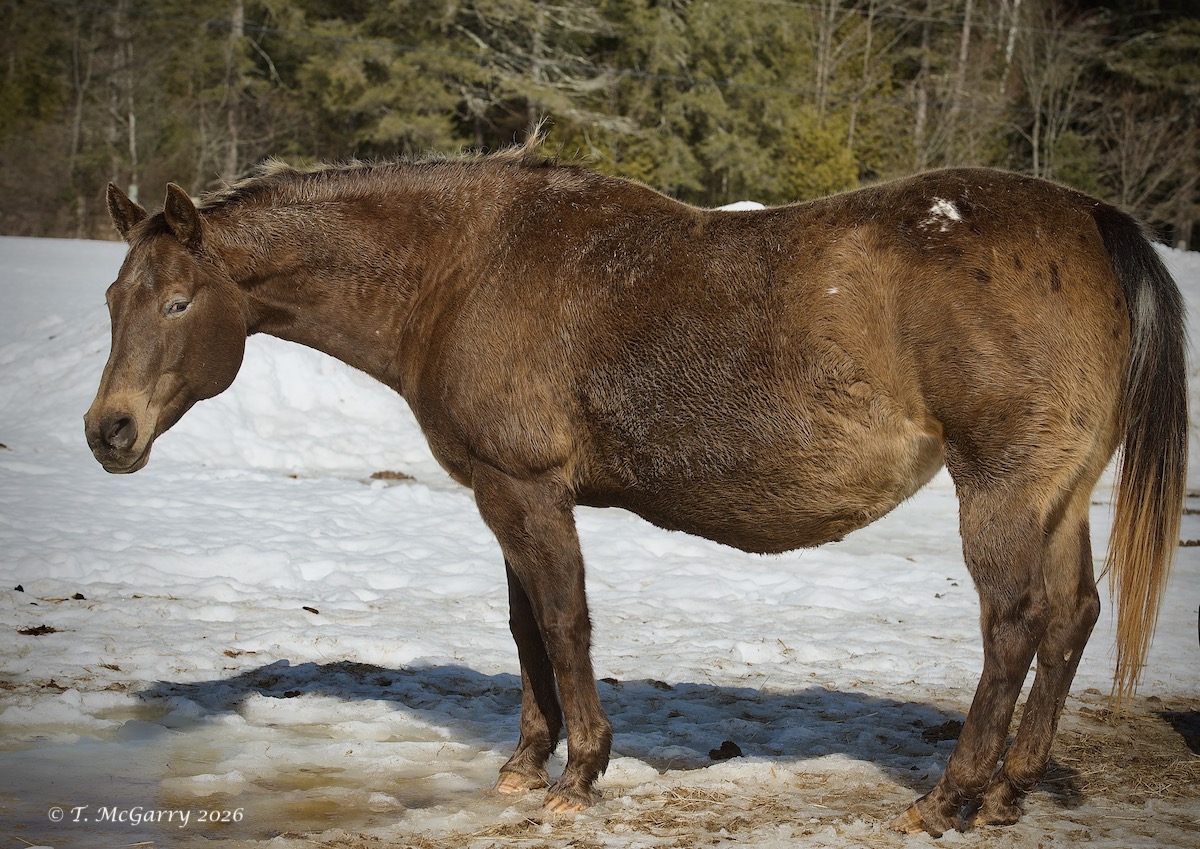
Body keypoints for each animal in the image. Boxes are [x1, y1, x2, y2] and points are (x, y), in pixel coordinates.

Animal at [85, 143, 1187, 836]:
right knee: (1070, 617)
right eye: (112, 297)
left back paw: (950, 798)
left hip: (999, 489)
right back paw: (1008, 792)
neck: (465, 269)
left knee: (1013, 624)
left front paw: (578, 776)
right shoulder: (503, 494)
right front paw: (523, 766)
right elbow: (526, 629)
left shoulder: (526, 489)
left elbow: (564, 623)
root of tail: (1091, 218)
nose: (108, 432)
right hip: (1056, 495)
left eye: (178, 301)